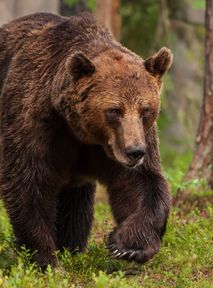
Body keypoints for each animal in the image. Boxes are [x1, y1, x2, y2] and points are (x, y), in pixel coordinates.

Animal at [0, 11, 173, 268]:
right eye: (114, 110)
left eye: (145, 110)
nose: (135, 152)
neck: (81, 132)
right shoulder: (35, 123)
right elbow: (28, 182)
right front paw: (45, 258)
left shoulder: (126, 142)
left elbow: (141, 183)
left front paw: (127, 246)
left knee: (76, 203)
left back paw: (72, 247)